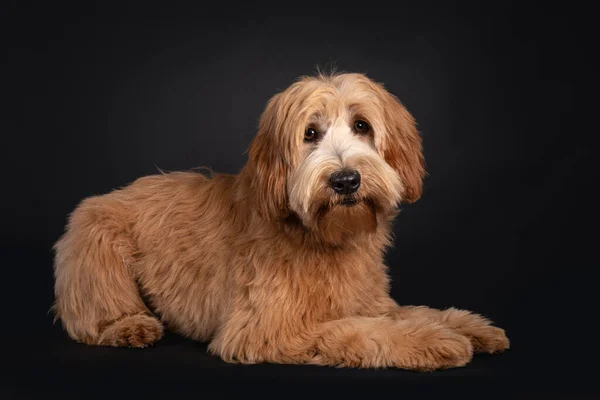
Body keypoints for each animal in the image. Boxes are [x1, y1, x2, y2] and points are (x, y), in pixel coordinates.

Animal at [54, 72, 508, 372]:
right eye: (310, 133)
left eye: (361, 126)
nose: (346, 180)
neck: (323, 237)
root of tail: (108, 195)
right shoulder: (267, 327)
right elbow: (361, 331)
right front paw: (434, 341)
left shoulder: (369, 301)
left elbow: (406, 312)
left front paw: (469, 327)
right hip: (98, 245)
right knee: (95, 312)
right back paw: (128, 326)